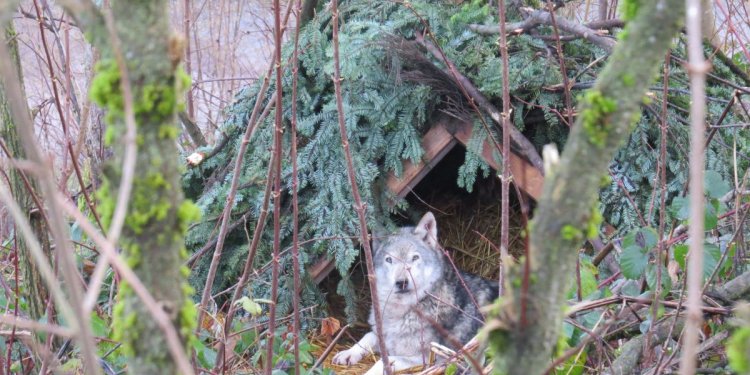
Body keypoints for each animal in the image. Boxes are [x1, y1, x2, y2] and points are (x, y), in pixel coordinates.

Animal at [334, 213, 500, 374]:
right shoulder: (384, 336)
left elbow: (382, 361)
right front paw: (348, 353)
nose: (401, 282)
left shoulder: (430, 359)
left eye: (415, 258)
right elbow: (367, 336)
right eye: (389, 260)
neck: (403, 312)